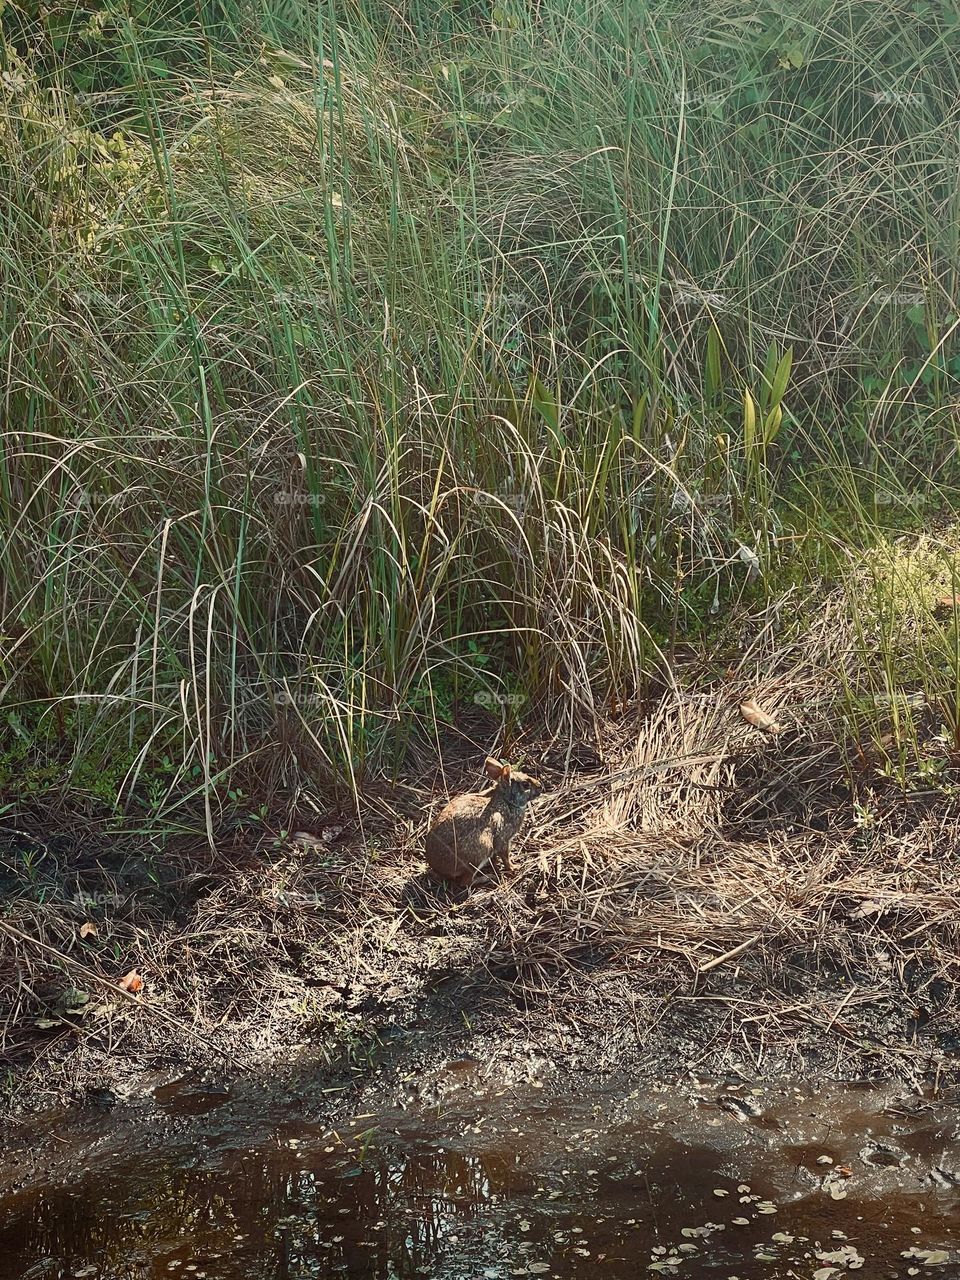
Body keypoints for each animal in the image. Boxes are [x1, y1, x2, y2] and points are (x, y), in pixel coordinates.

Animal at [424, 756, 543, 887]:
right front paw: (514, 867)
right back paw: (488, 877)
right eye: (525, 784)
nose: (540, 786)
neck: (506, 799)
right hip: (481, 850)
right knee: (466, 882)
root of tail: (437, 867)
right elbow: (505, 856)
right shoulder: (504, 839)